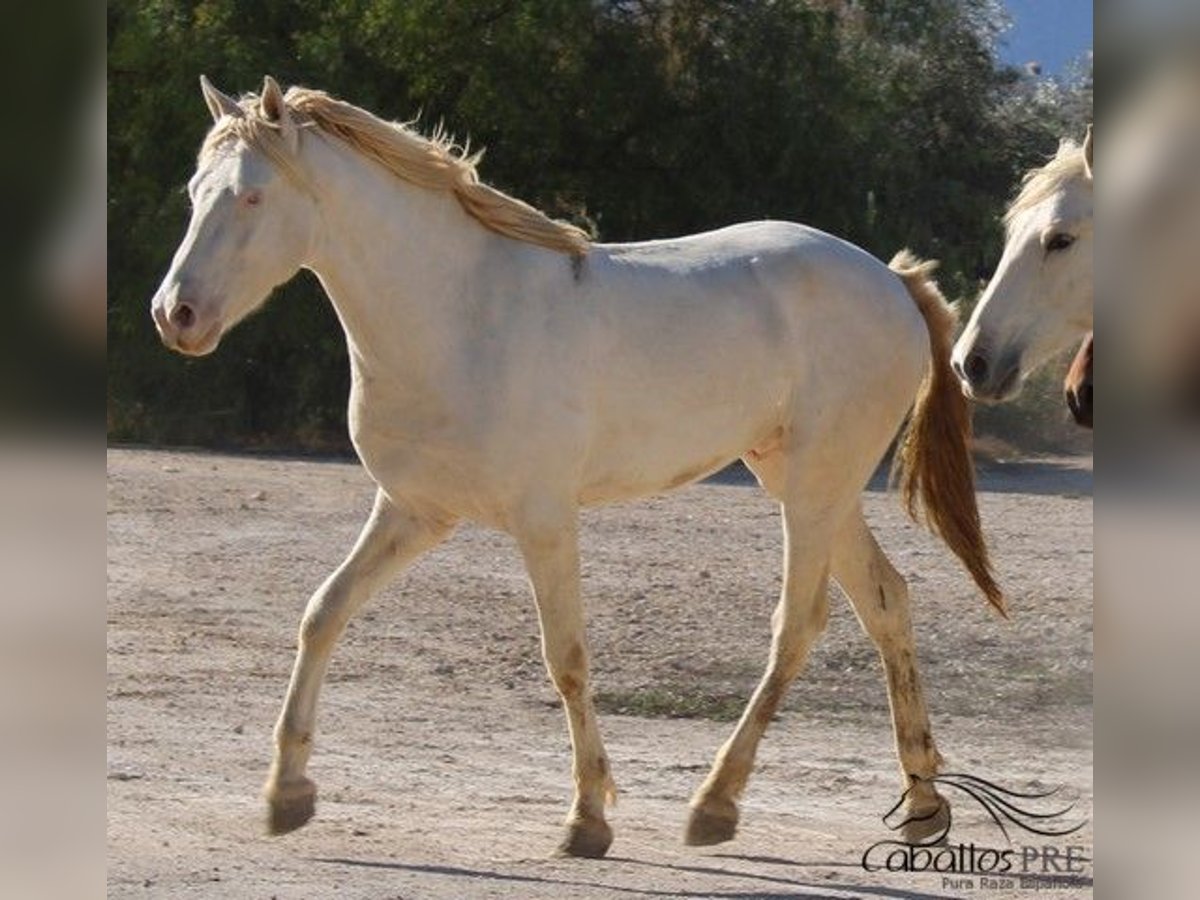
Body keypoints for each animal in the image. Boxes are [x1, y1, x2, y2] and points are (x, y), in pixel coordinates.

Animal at [150, 77, 1003, 859]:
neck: (460, 315)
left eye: (253, 196)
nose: (175, 315)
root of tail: (893, 282)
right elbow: (323, 612)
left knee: (797, 625)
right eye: (194, 193)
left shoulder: (543, 521)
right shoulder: (412, 510)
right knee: (886, 601)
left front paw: (588, 818)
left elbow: (565, 659)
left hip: (816, 489)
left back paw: (715, 806)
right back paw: (921, 805)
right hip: (803, 479)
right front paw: (286, 794)